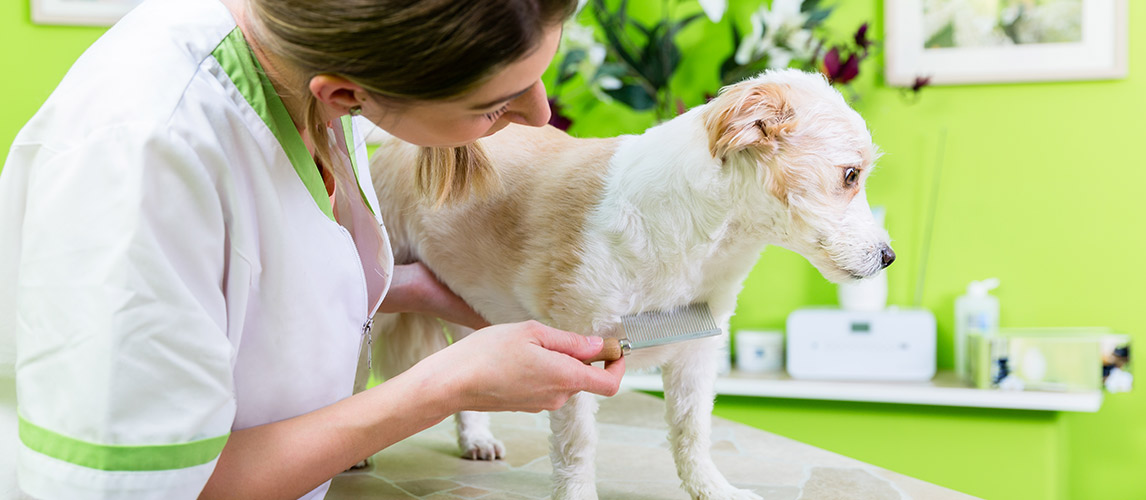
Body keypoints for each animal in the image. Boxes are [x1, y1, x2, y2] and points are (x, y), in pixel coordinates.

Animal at [366, 70, 893, 499]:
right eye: (850, 175)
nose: (888, 257)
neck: (697, 231)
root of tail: (398, 144)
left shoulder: (696, 351)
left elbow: (692, 434)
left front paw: (712, 489)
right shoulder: (576, 347)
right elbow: (576, 449)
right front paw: (576, 495)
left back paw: (474, 436)